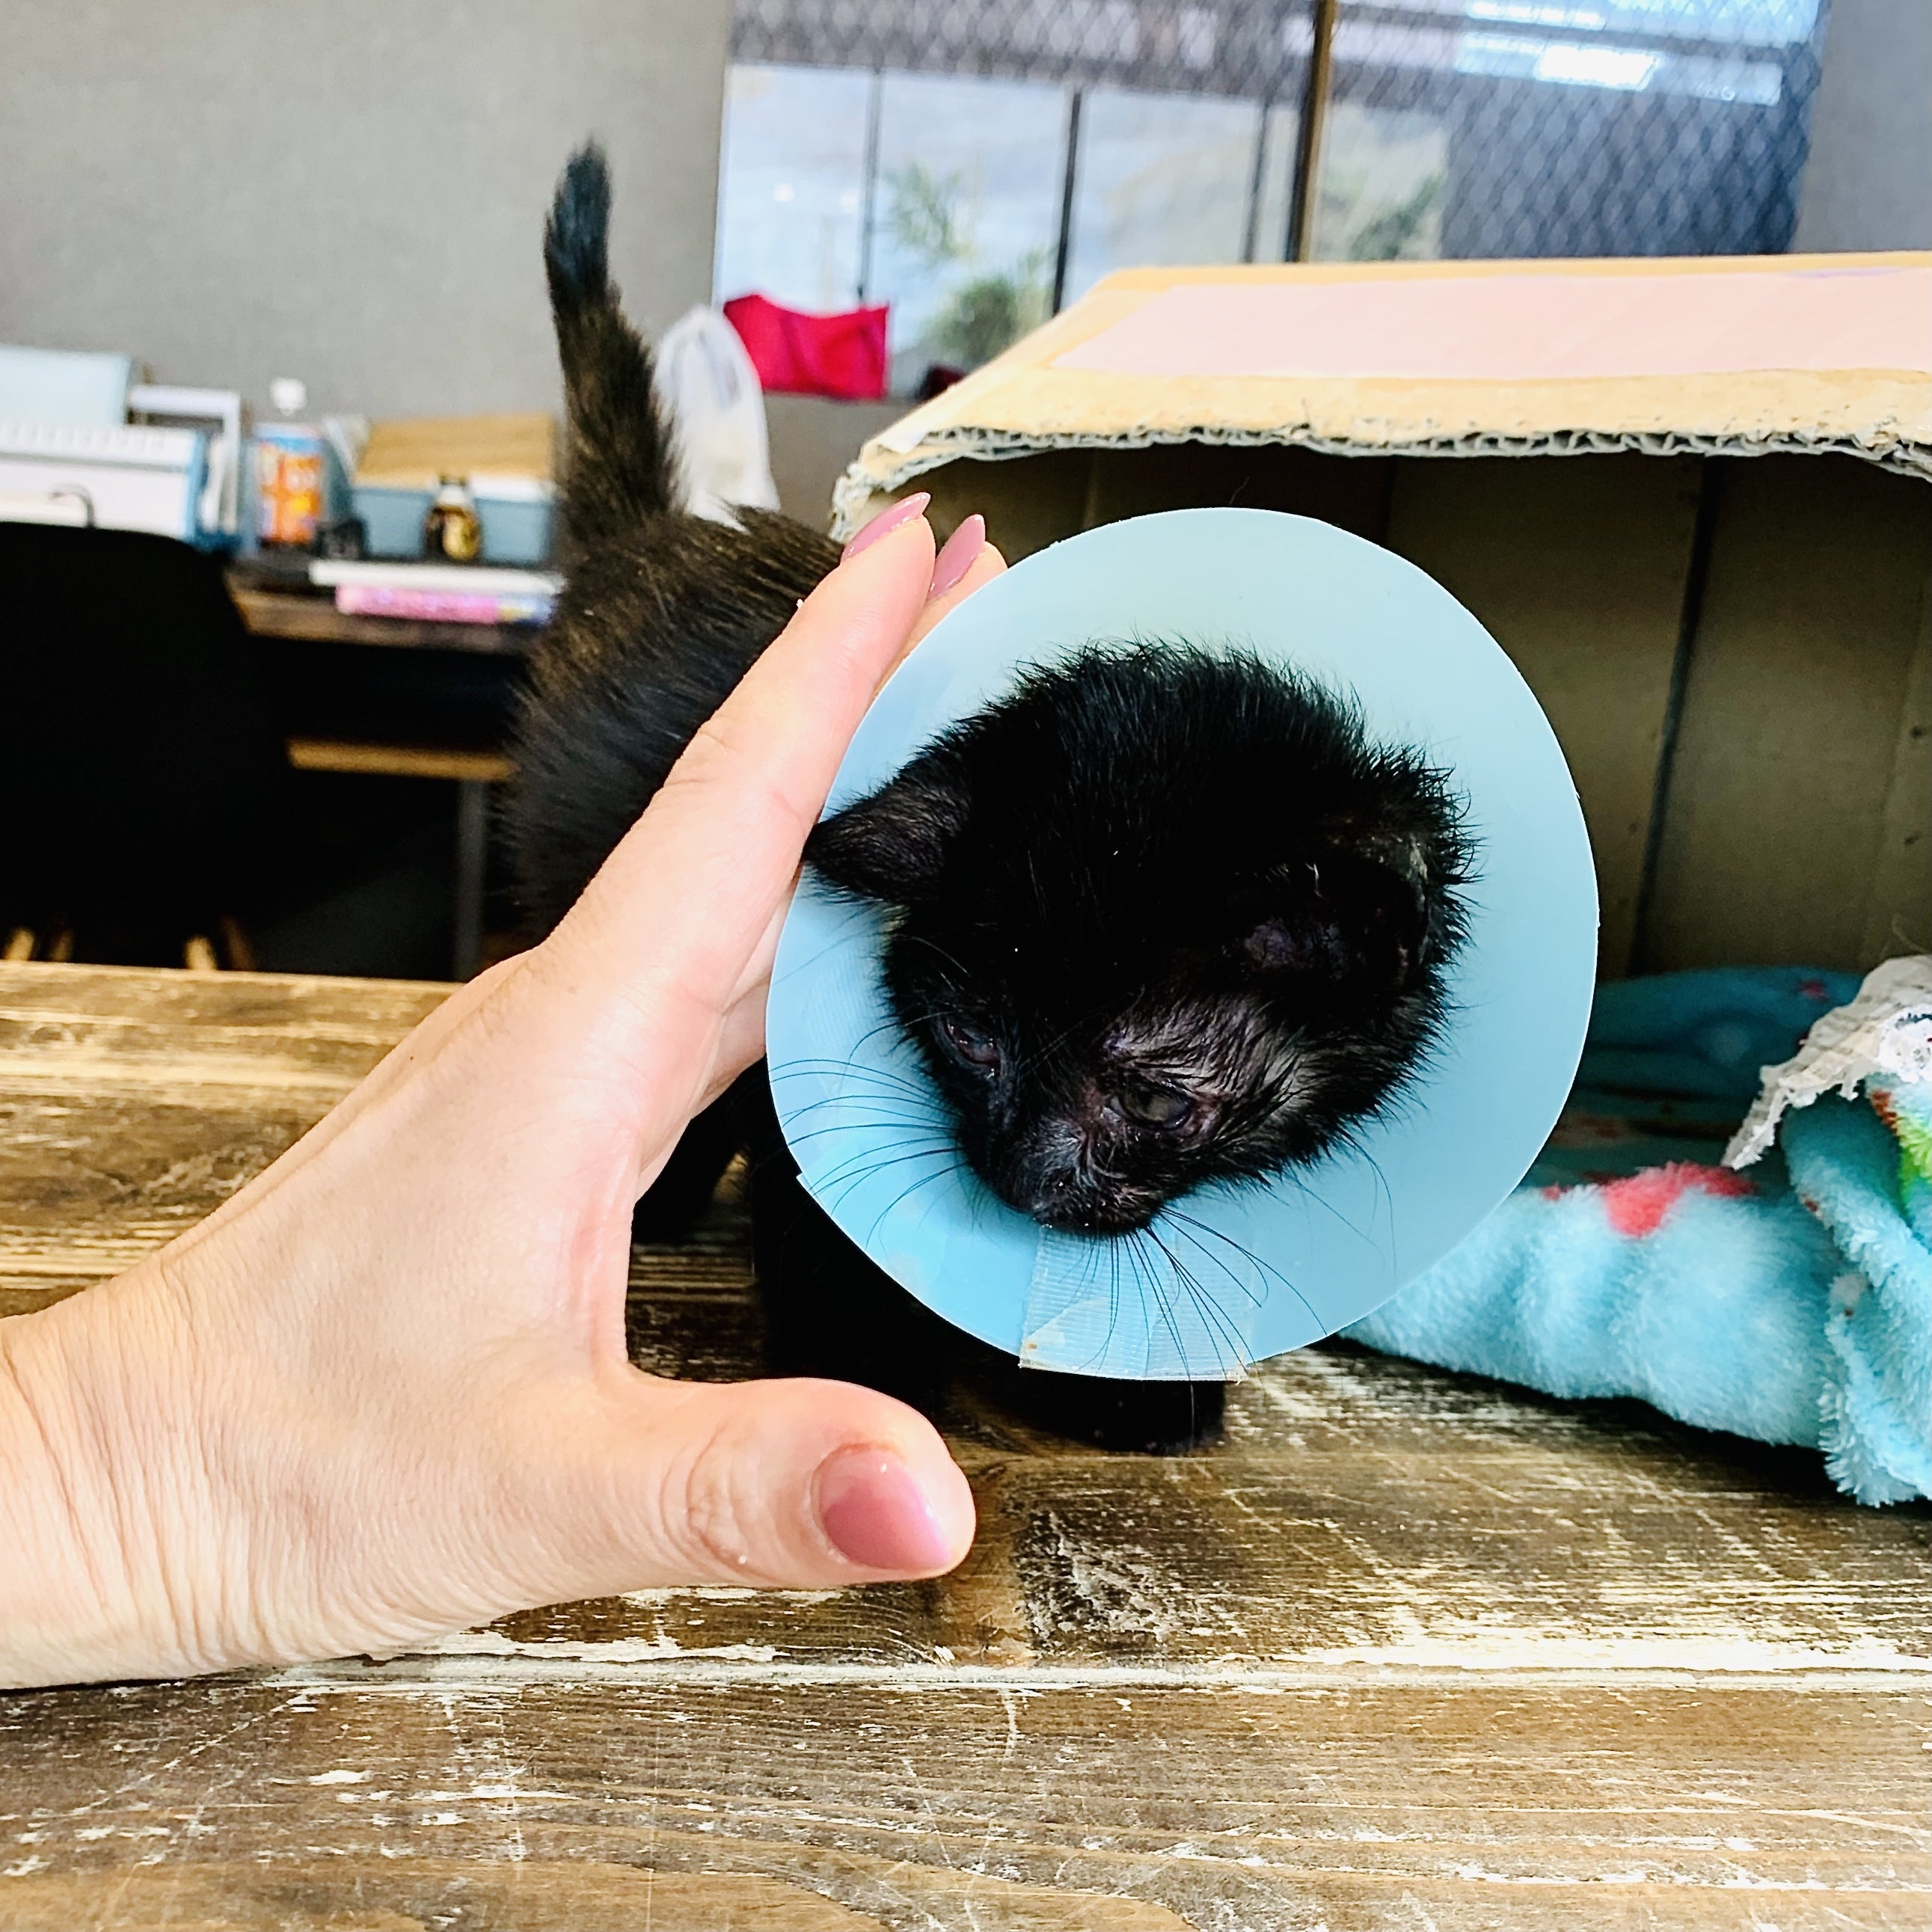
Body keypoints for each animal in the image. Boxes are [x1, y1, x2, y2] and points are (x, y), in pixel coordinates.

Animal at [509, 145, 1474, 1453]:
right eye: (969, 1039)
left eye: (1154, 1098)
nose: (1017, 1179)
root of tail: (649, 538)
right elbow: (820, 1221)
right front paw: (861, 1375)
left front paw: (1121, 1382)